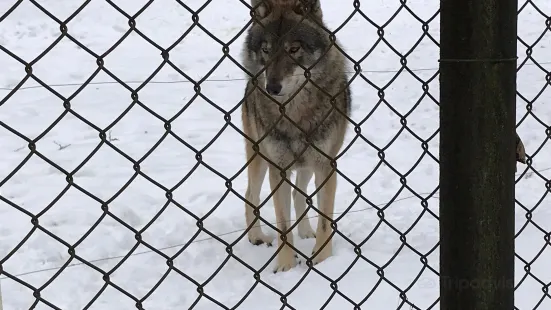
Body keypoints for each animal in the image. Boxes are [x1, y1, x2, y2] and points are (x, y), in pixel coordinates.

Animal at [239, 0, 352, 272]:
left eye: (293, 49)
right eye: (266, 50)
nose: (272, 87)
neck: (294, 113)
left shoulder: (325, 165)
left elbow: (325, 219)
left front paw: (322, 260)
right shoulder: (278, 169)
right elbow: (283, 225)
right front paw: (286, 267)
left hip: (306, 164)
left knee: (298, 193)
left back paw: (306, 232)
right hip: (258, 157)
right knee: (250, 195)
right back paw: (256, 237)